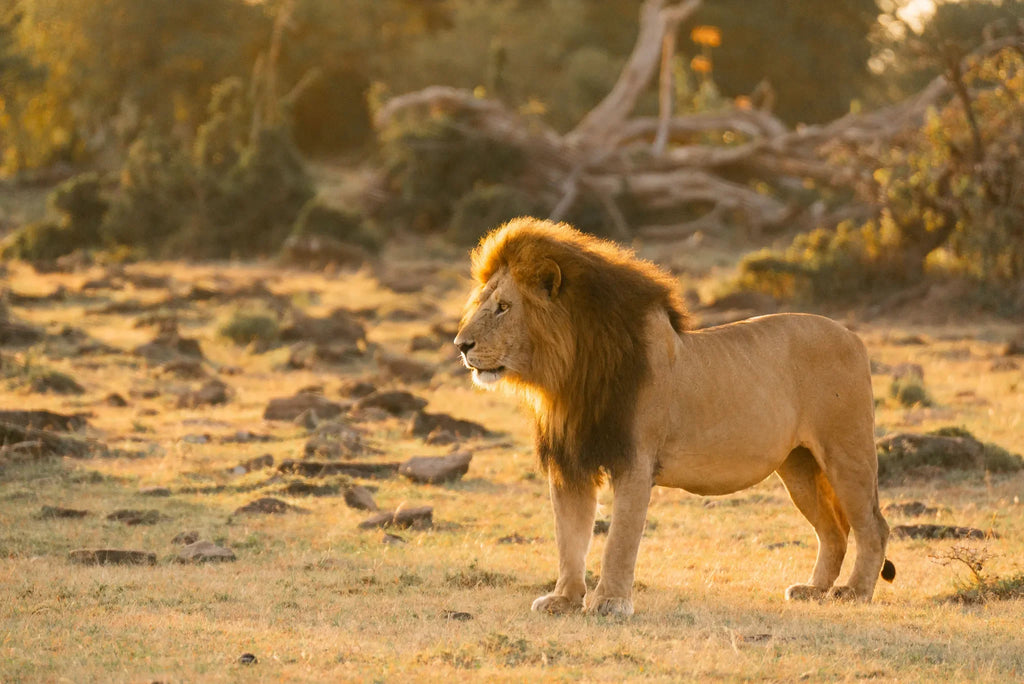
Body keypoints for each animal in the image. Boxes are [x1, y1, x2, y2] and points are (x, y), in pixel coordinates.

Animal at [453, 217, 895, 616]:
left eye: (503, 308)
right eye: (482, 303)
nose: (461, 344)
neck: (568, 375)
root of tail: (853, 336)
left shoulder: (634, 462)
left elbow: (619, 541)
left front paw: (609, 602)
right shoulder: (570, 463)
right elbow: (570, 539)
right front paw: (563, 599)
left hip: (845, 452)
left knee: (872, 526)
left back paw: (853, 592)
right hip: (798, 464)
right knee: (833, 531)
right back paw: (814, 590)